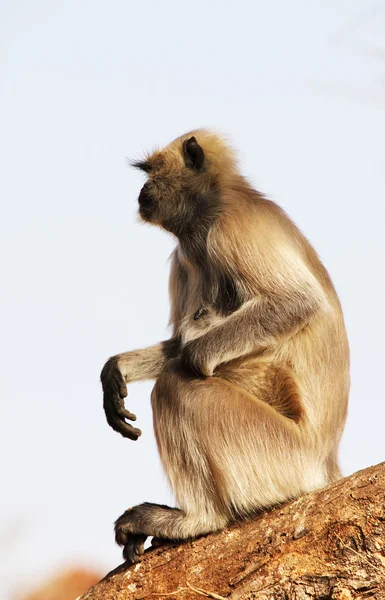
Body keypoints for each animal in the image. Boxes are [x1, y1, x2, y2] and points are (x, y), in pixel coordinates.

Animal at [100, 130, 350, 564]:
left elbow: (297, 302)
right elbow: (176, 340)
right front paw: (118, 369)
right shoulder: (184, 256)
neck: (213, 209)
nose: (141, 191)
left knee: (178, 387)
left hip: (278, 457)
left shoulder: (231, 229)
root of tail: (325, 461)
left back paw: (198, 520)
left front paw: (193, 357)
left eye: (150, 173)